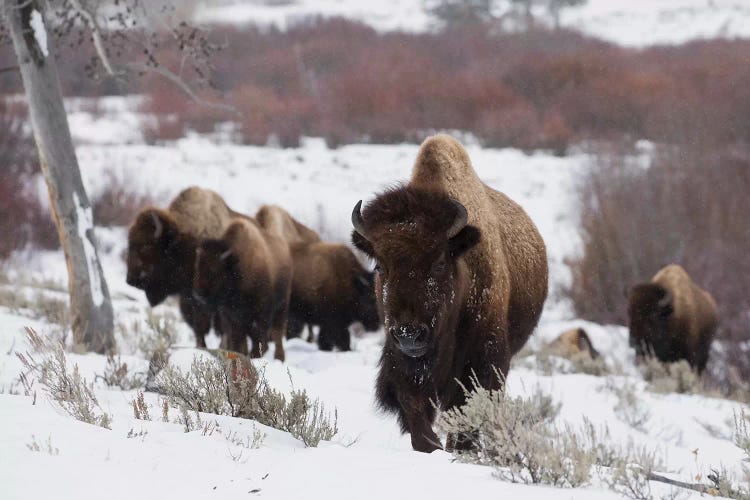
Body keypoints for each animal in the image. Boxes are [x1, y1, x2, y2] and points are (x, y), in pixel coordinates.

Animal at [350, 134, 548, 454]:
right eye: (380, 265)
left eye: (440, 262)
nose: (409, 334)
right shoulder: (401, 365)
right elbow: (416, 413)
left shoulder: (482, 363)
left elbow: (465, 412)